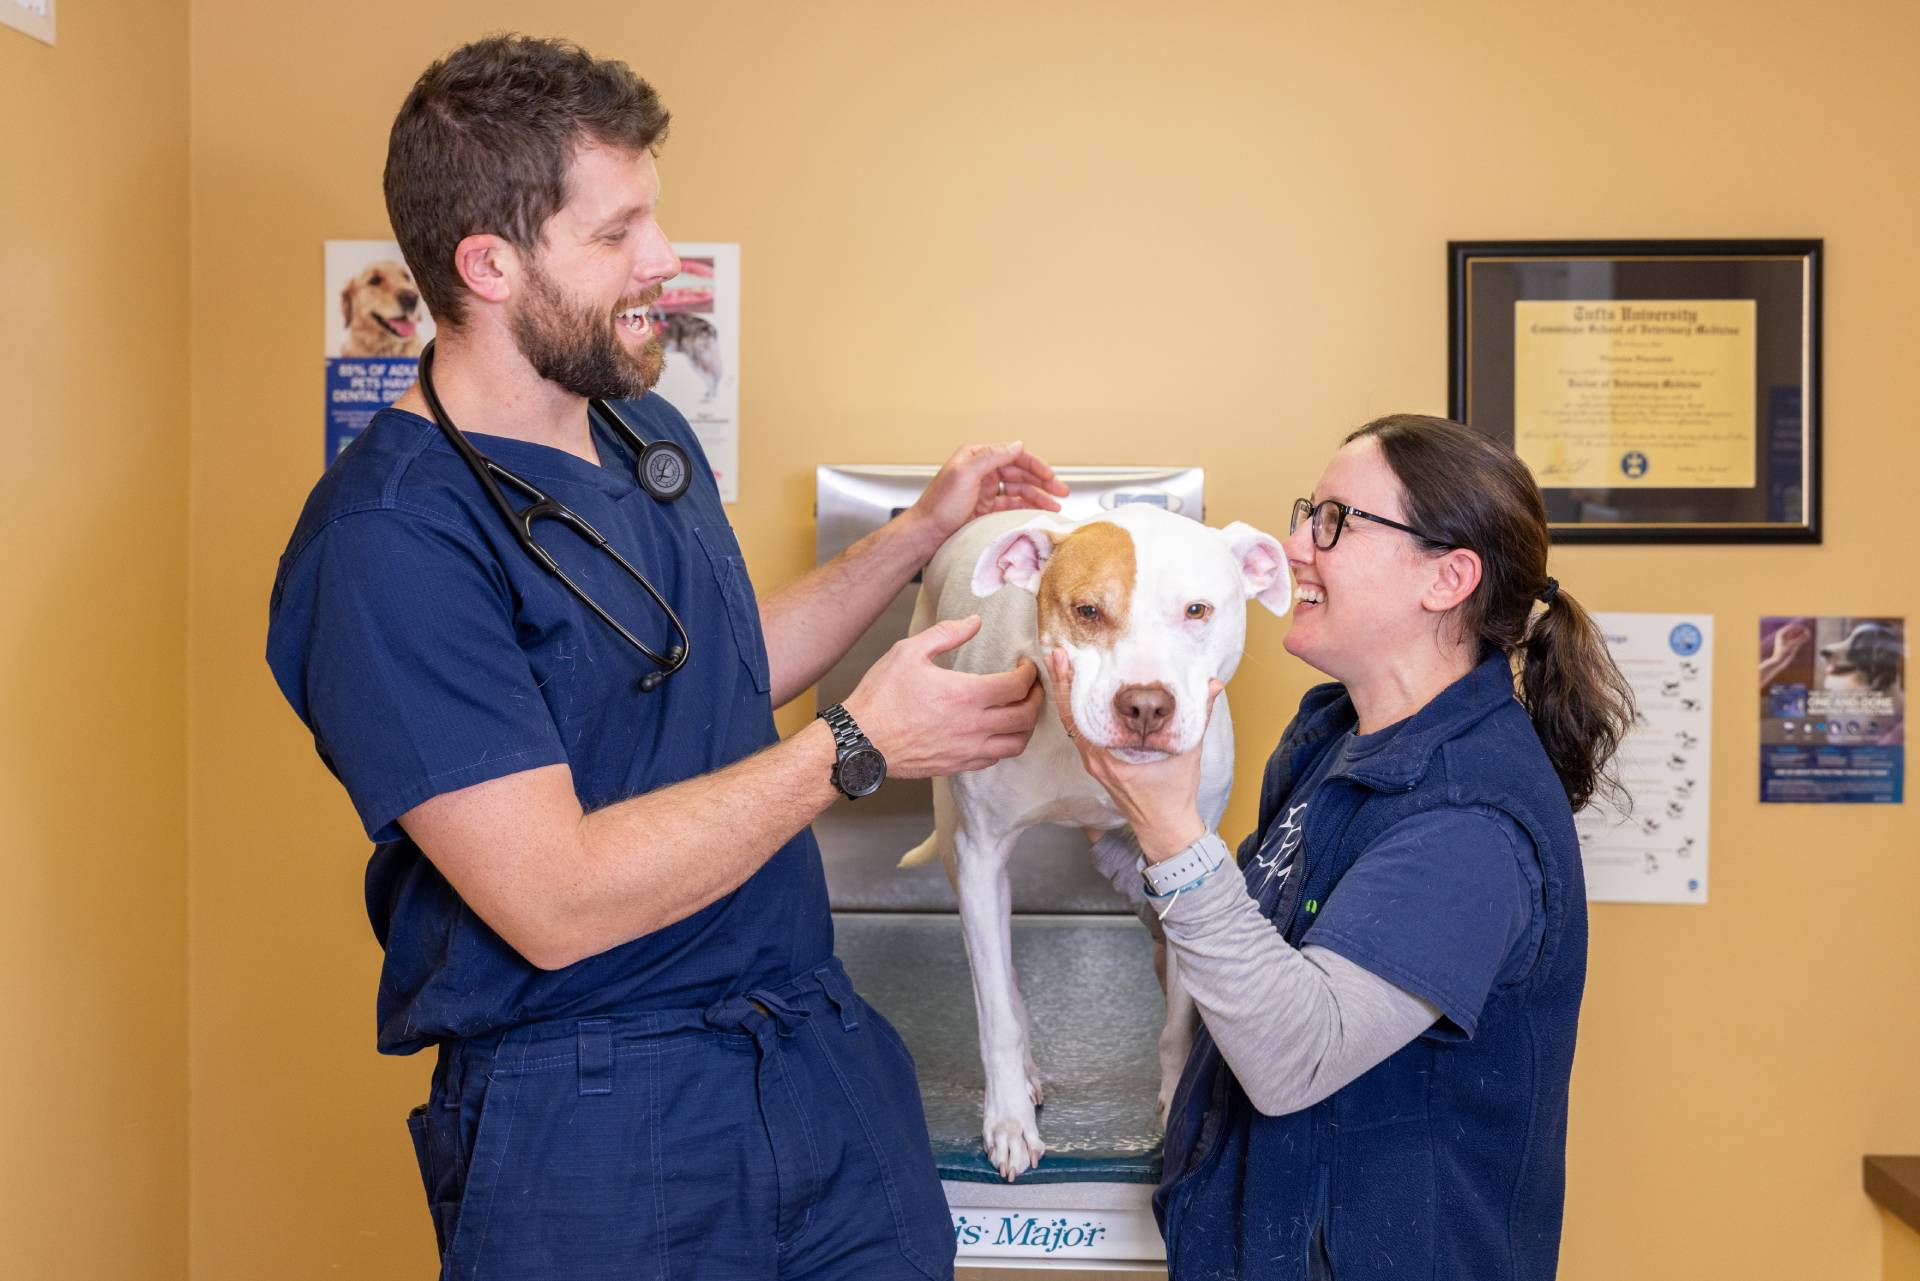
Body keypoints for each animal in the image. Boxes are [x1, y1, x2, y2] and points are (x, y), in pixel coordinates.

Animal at [898, 503, 1290, 1183]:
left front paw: (1173, 1110)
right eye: (1087, 611)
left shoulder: (1184, 855)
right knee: (996, 972)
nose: (1145, 706)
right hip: (956, 840)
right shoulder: (980, 855)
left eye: (1197, 610)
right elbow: (995, 1011)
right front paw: (1008, 1121)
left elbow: (1180, 1016)